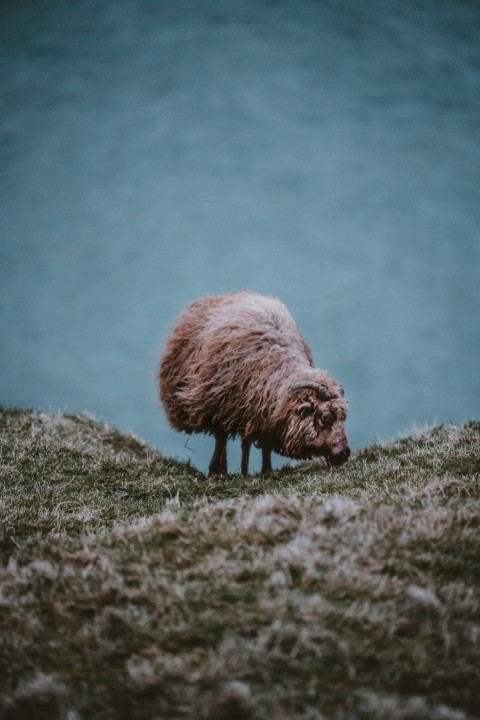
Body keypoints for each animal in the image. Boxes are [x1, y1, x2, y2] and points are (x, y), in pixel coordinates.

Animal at [158, 290, 348, 476]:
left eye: (344, 417)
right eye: (325, 417)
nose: (345, 453)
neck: (274, 366)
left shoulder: (263, 413)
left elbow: (263, 445)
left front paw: (266, 471)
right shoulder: (224, 406)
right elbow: (225, 438)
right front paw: (222, 471)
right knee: (221, 439)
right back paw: (221, 470)